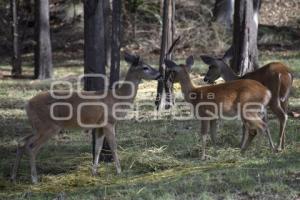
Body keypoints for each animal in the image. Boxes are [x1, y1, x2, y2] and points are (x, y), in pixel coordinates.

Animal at [10, 52, 162, 184]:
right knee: (31, 147)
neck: (118, 98)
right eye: (145, 67)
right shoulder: (108, 122)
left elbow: (98, 148)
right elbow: (113, 146)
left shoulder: (99, 125)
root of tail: (27, 104)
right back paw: (34, 179)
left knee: (21, 142)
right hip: (49, 126)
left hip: (38, 126)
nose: (160, 74)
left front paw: (94, 172)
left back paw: (13, 176)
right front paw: (119, 171)